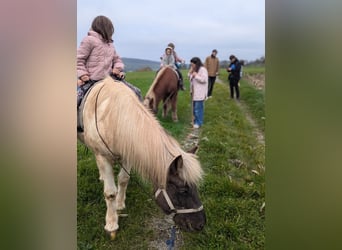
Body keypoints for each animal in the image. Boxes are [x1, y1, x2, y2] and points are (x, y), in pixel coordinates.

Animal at [77, 76, 206, 240]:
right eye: (183, 190)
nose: (200, 224)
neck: (112, 117)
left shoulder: (128, 153)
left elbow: (124, 179)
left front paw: (120, 204)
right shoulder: (103, 156)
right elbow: (110, 193)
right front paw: (112, 224)